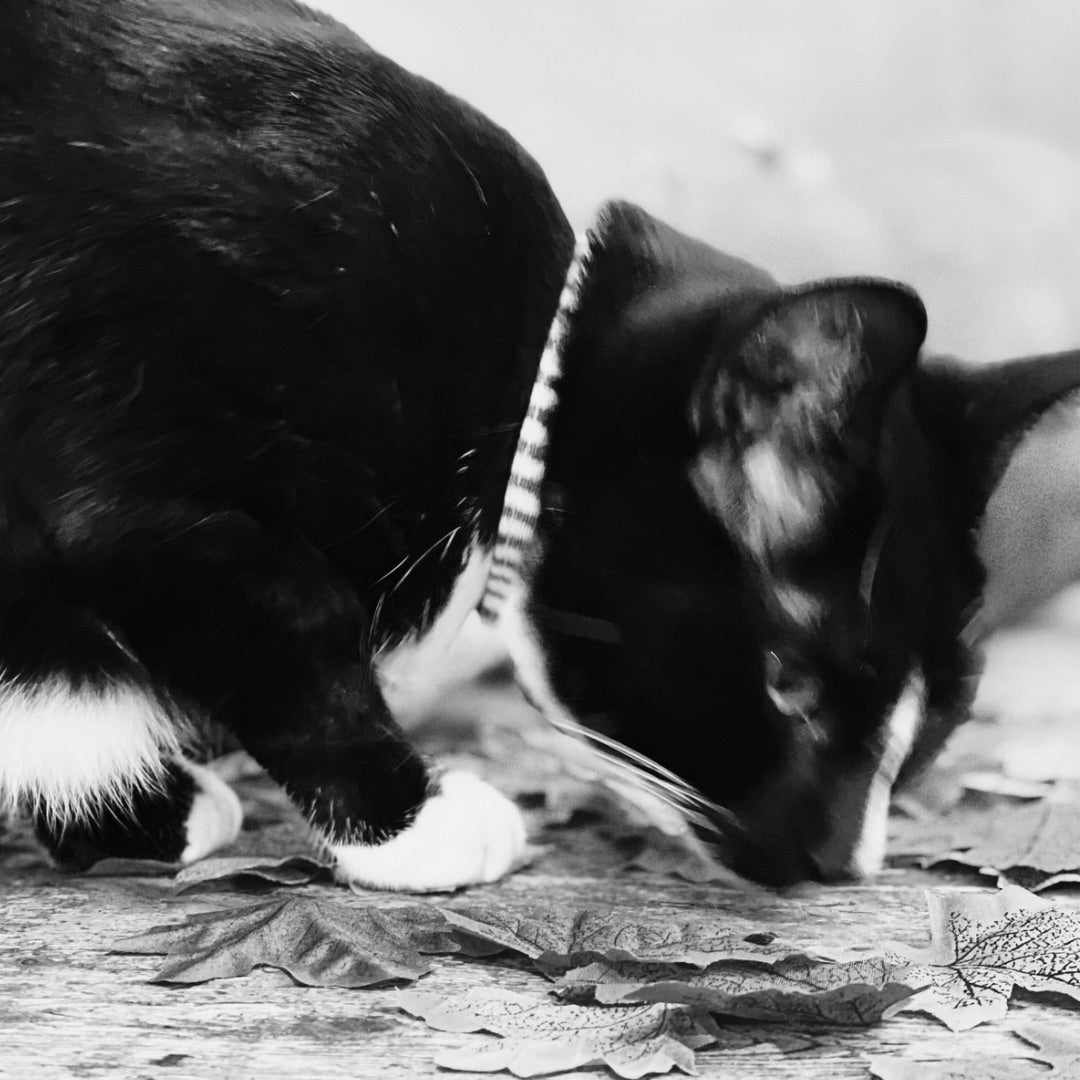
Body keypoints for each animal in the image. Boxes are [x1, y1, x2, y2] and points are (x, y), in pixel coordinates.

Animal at [2, 0, 1080, 889]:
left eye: (938, 720)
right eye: (793, 691)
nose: (843, 864)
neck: (521, 380)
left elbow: (47, 678)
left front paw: (125, 810)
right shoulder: (144, 440)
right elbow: (291, 617)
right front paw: (407, 823)